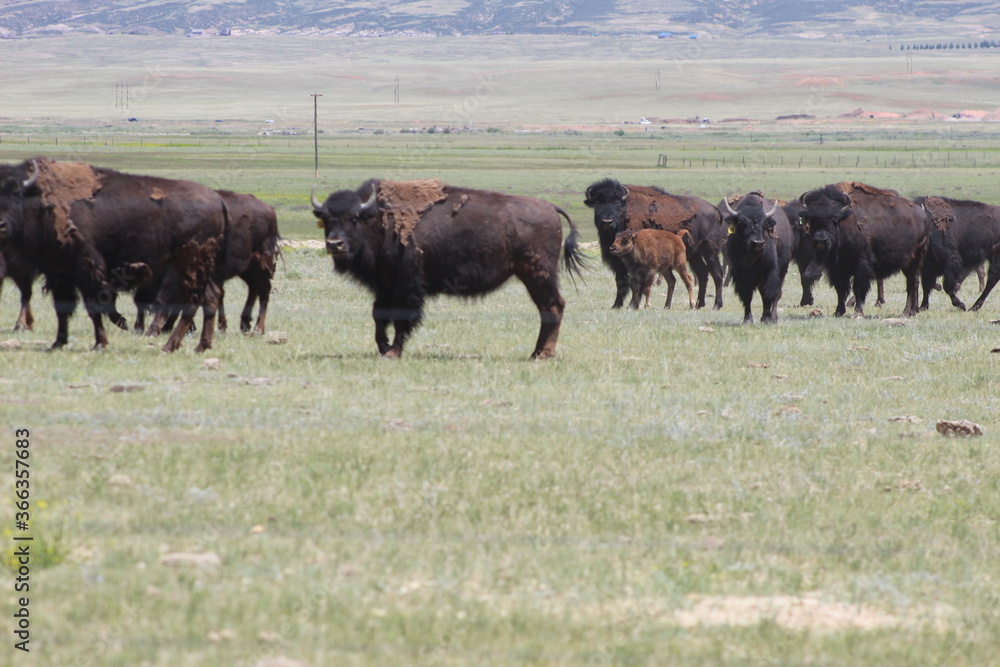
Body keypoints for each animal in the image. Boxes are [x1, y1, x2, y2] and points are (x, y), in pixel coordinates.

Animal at [0, 159, 228, 352]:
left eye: (17, 193)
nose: (1, 225)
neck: (40, 201)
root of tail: (217, 199)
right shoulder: (58, 273)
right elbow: (62, 309)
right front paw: (58, 343)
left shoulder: (87, 268)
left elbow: (94, 307)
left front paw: (101, 341)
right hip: (200, 270)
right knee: (210, 298)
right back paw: (201, 346)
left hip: (189, 265)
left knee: (193, 301)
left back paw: (170, 346)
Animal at [312, 175, 584, 358]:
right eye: (326, 219)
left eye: (354, 218)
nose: (334, 244)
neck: (378, 218)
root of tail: (550, 207)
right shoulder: (385, 285)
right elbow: (379, 315)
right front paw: (383, 347)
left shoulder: (406, 284)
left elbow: (402, 318)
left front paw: (392, 352)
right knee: (547, 309)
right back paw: (536, 353)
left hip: (538, 274)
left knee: (553, 306)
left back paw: (542, 355)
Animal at [584, 179, 724, 312]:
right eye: (597, 203)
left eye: (617, 203)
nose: (607, 222)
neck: (626, 210)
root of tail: (715, 210)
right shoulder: (619, 263)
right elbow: (621, 282)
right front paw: (616, 305)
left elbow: (638, 284)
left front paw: (633, 305)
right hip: (695, 255)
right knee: (703, 273)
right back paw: (699, 304)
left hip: (710, 250)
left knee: (717, 273)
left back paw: (716, 305)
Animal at [724, 192, 792, 324]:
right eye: (741, 222)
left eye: (764, 223)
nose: (758, 244)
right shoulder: (740, 272)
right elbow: (746, 295)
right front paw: (747, 319)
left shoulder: (769, 269)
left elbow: (768, 293)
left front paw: (766, 317)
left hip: (782, 269)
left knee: (777, 293)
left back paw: (773, 317)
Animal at [796, 183, 928, 318]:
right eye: (811, 219)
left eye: (835, 219)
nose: (821, 240)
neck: (844, 219)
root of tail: (922, 215)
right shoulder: (837, 268)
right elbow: (840, 289)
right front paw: (838, 311)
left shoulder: (861, 264)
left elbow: (858, 288)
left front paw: (857, 312)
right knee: (914, 283)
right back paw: (912, 311)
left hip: (912, 262)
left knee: (911, 284)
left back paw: (905, 312)